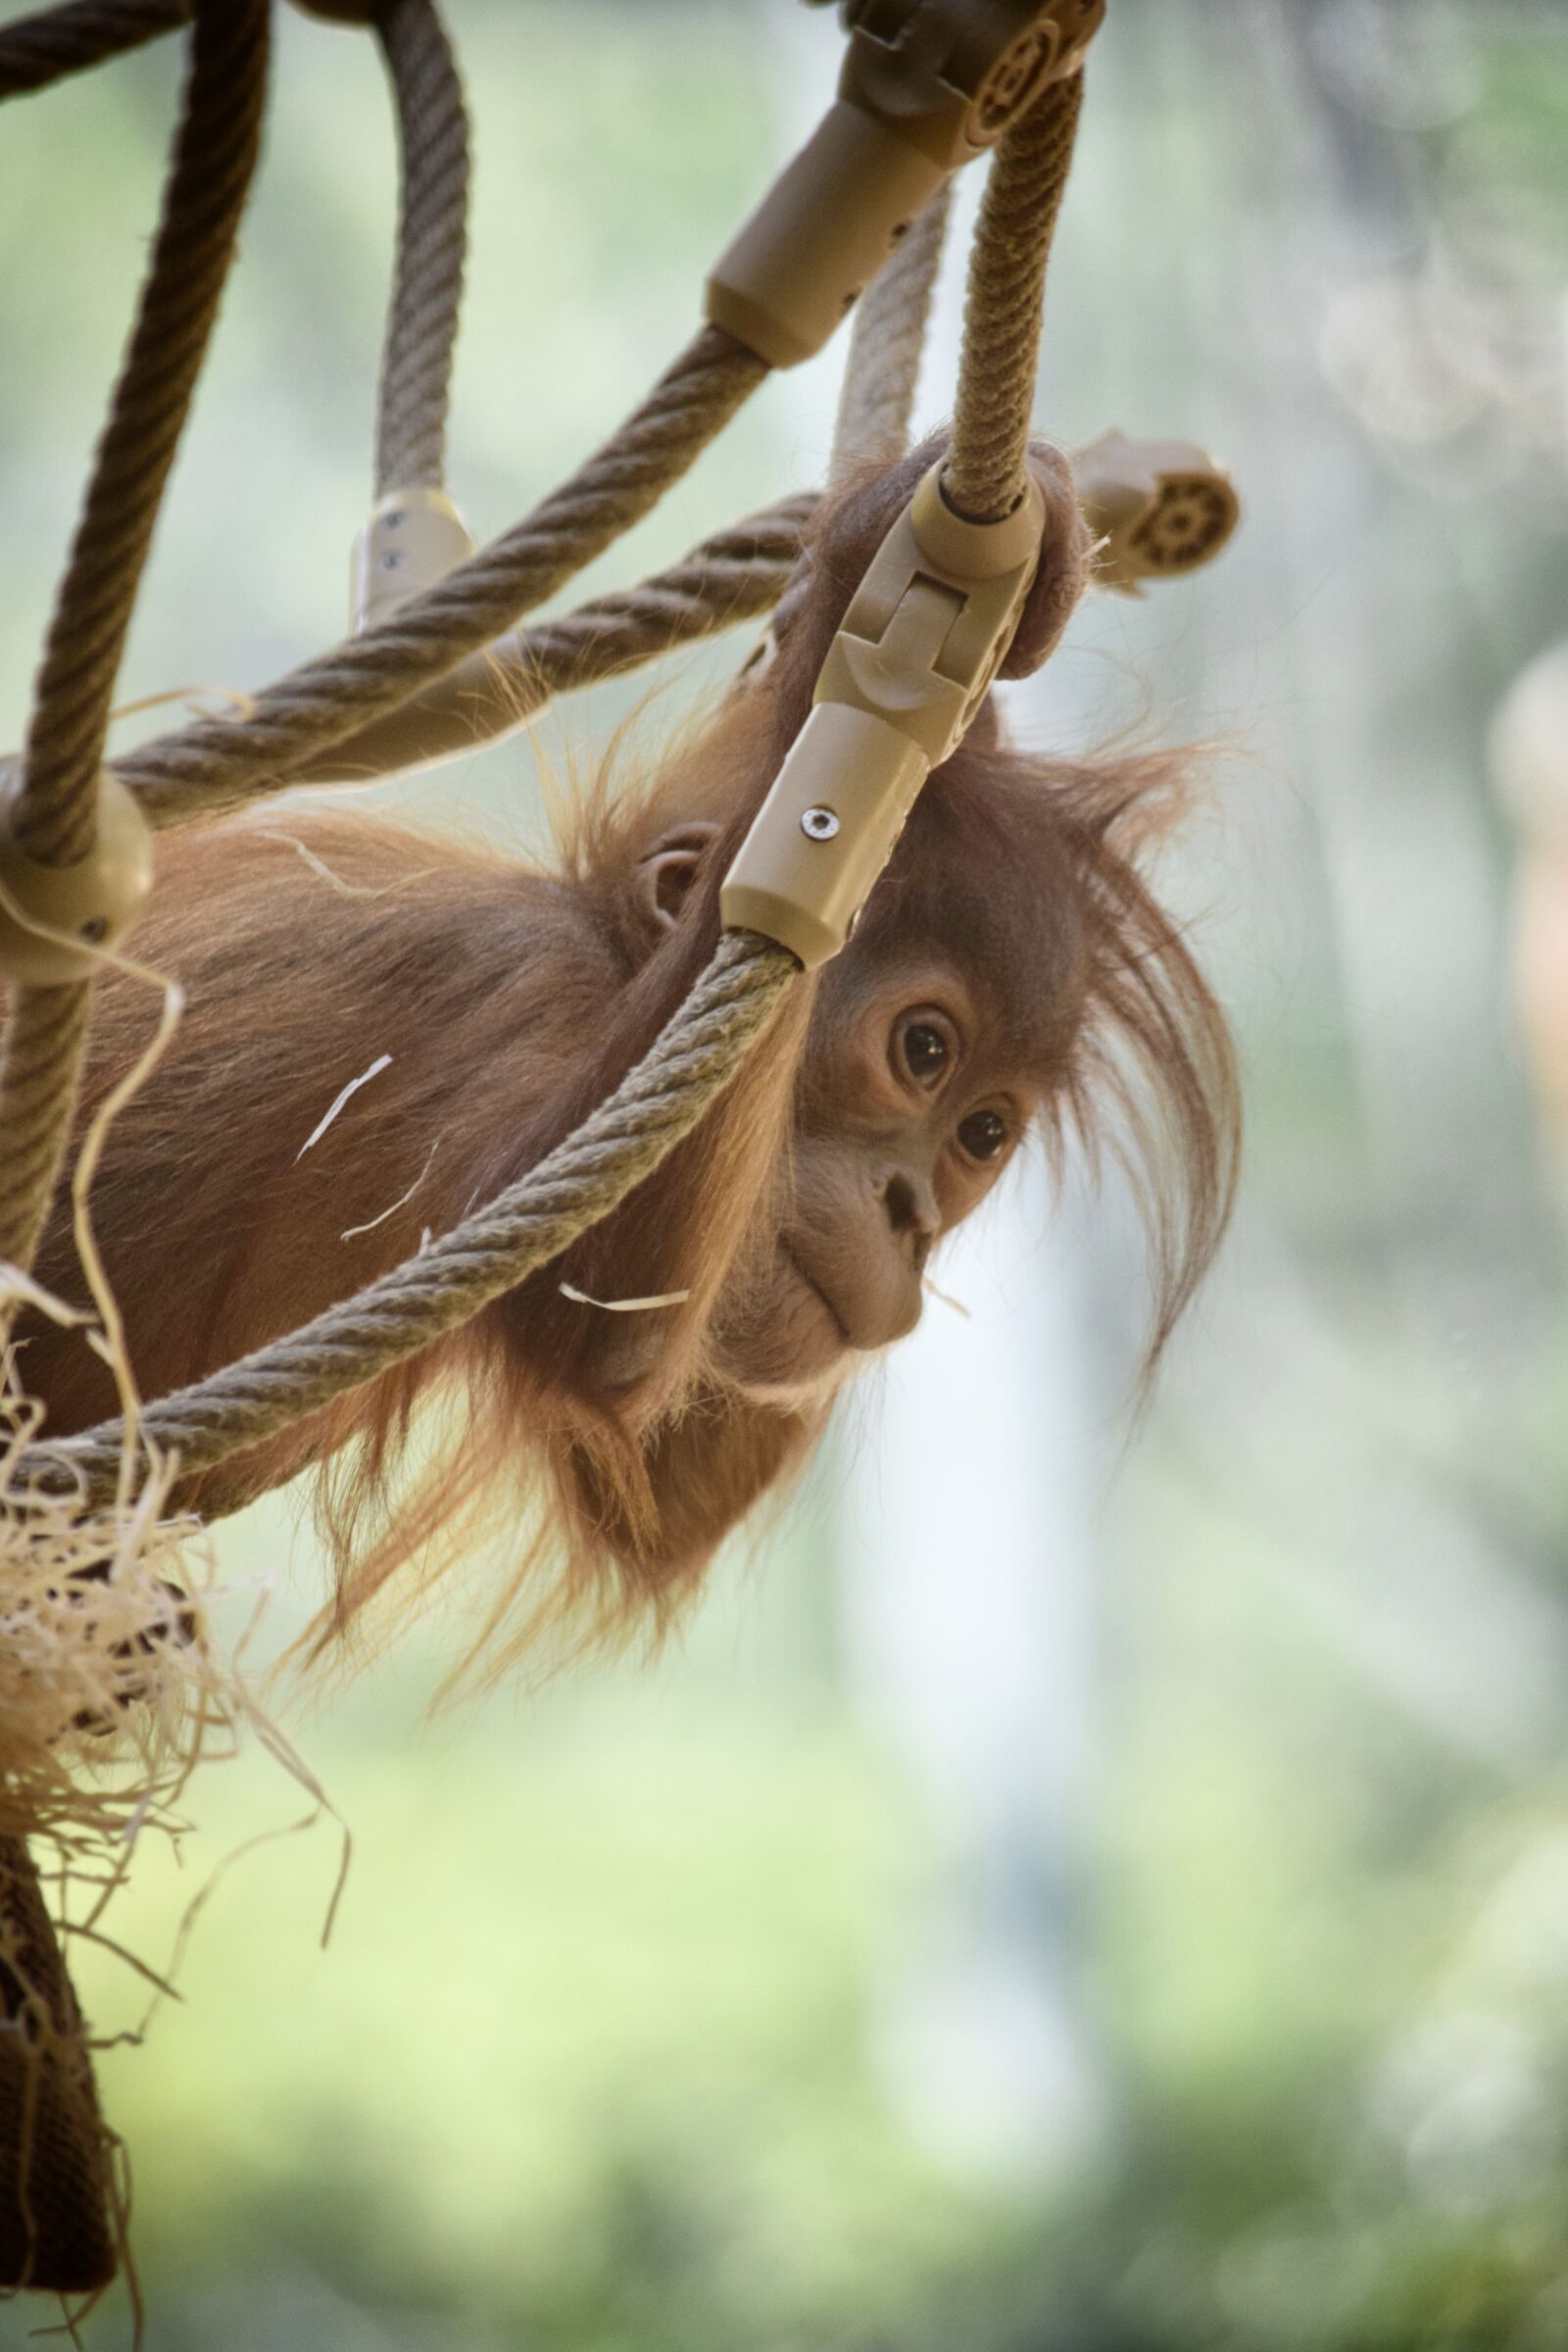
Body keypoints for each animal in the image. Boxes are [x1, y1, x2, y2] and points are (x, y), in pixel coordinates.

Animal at [16, 437, 1238, 1686]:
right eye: (923, 1050)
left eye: (982, 1135)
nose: (910, 1217)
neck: (601, 957)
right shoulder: (502, 993)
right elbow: (593, 1314)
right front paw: (859, 611)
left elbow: (665, 1486)